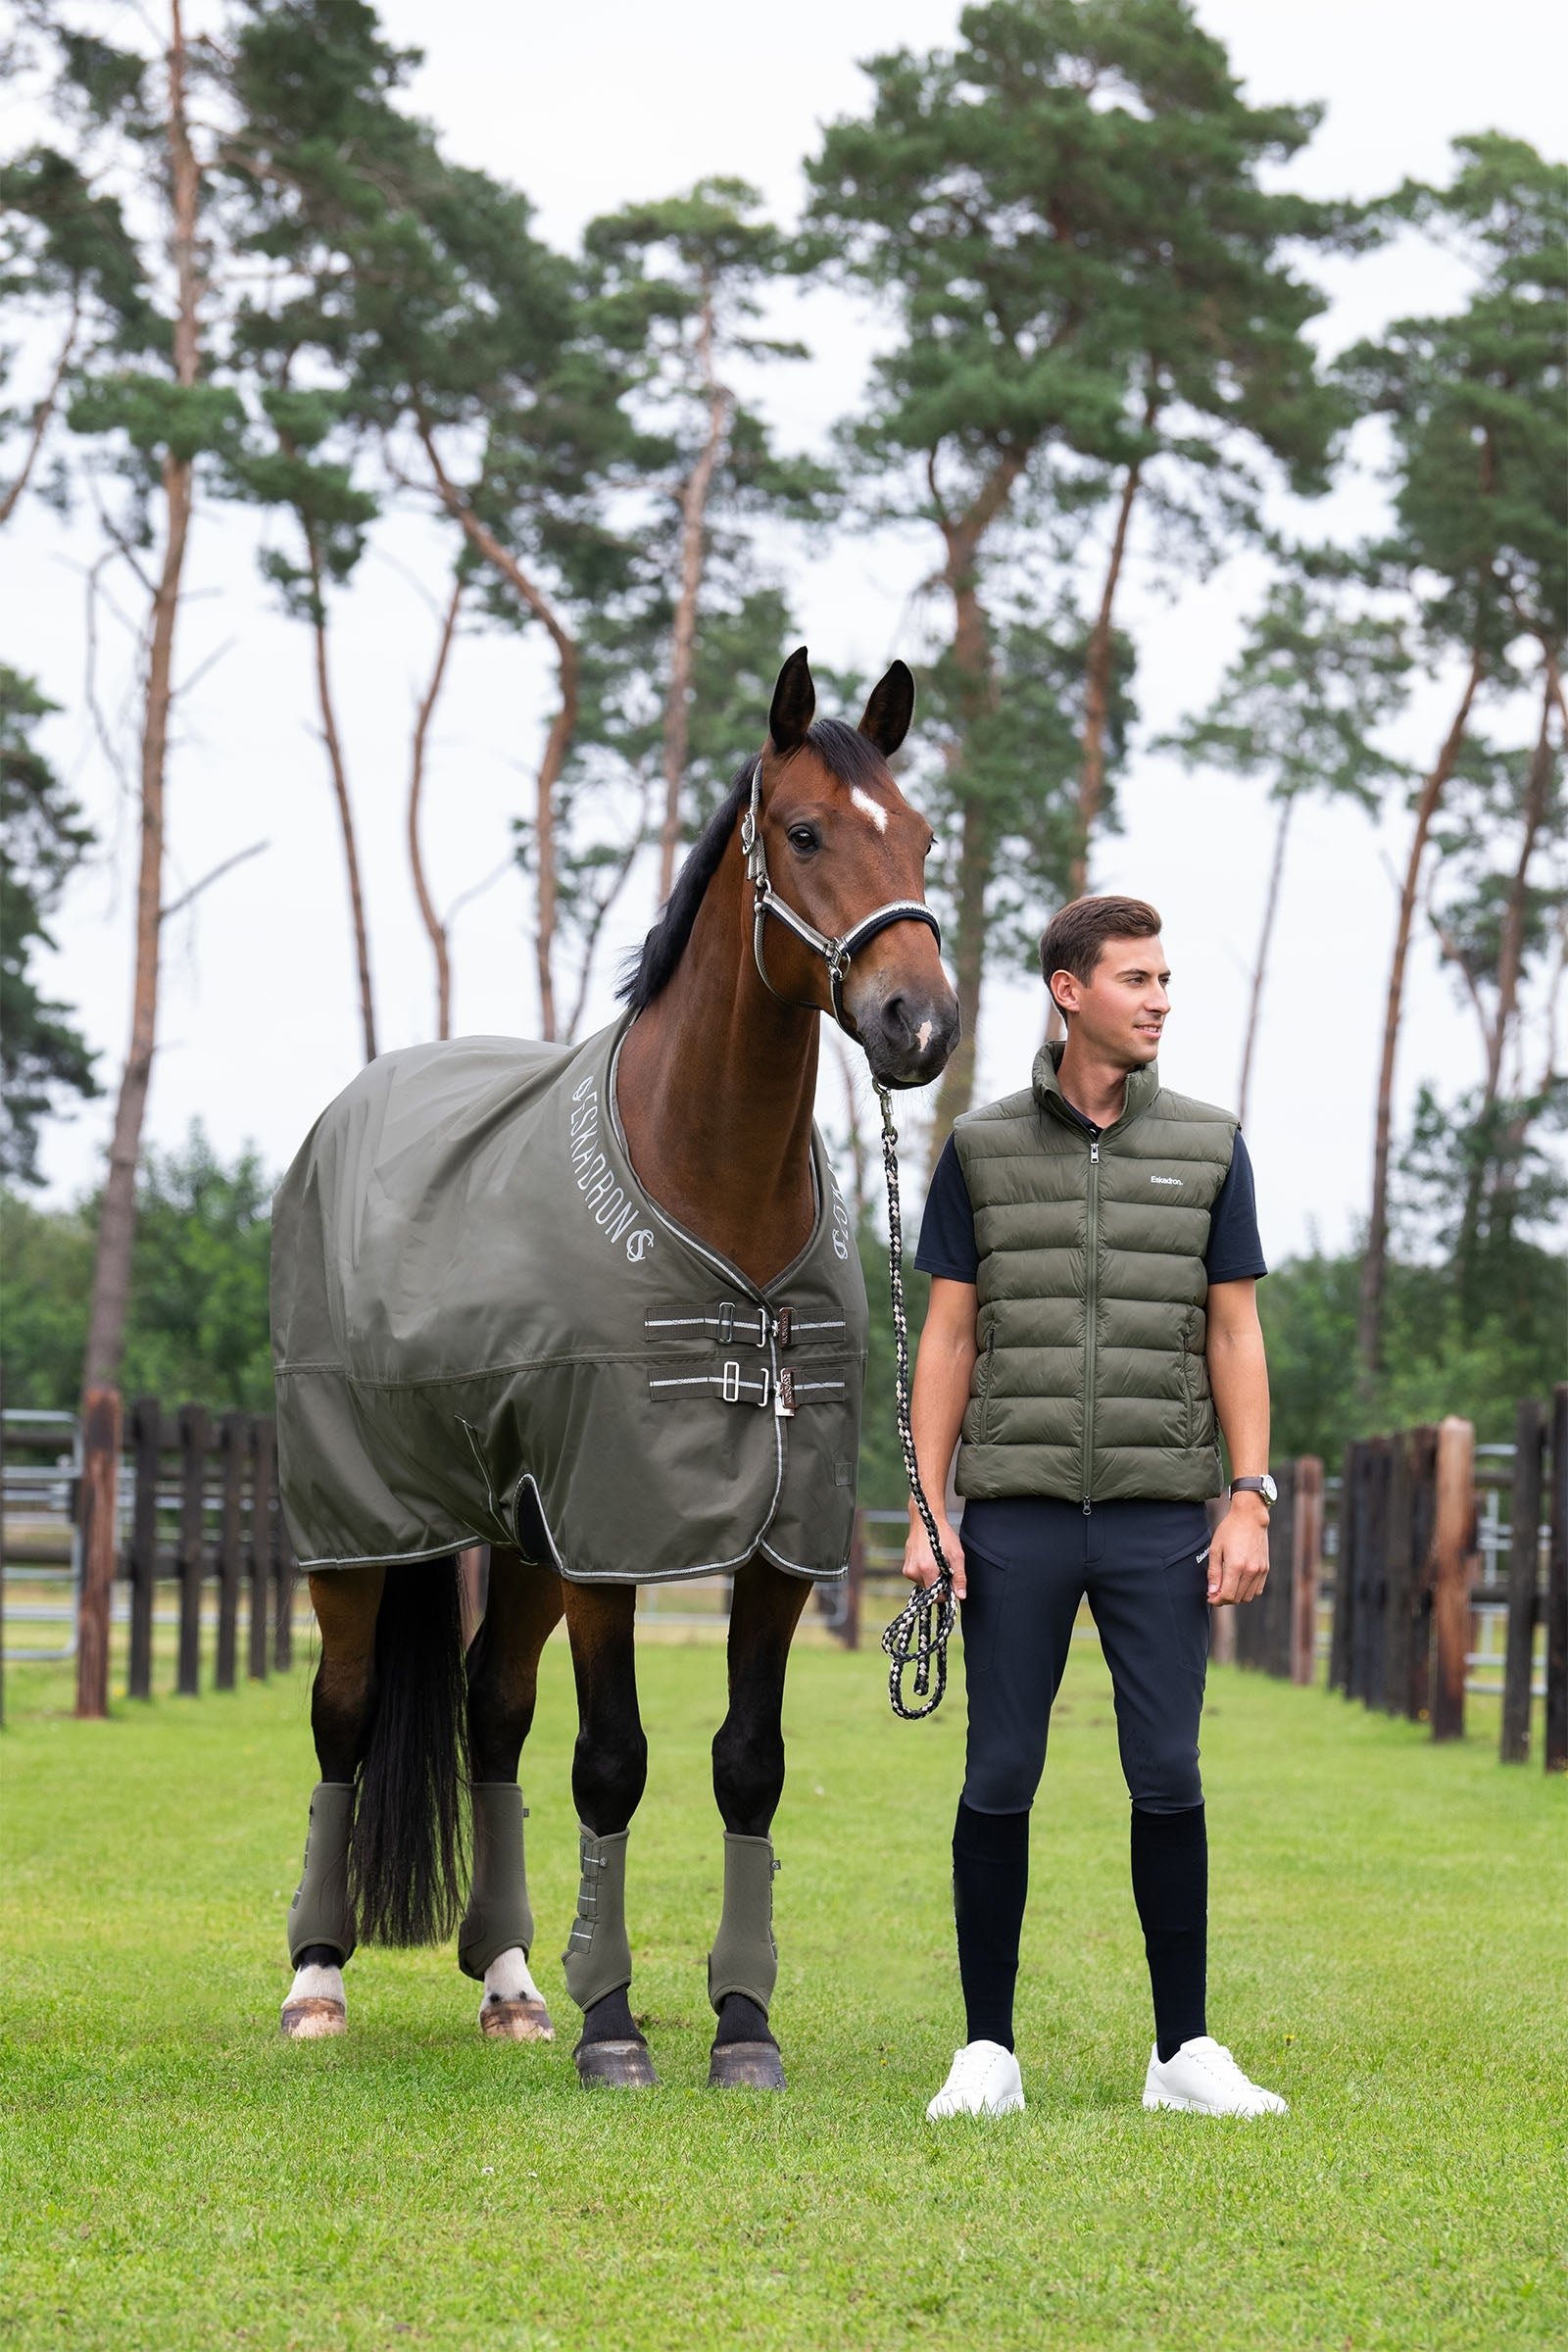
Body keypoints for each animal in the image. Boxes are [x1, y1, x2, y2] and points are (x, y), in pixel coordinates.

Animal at [272, 647, 958, 2089]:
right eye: (804, 833)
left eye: (922, 836)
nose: (917, 1023)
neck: (714, 1193)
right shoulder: (613, 1537)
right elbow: (612, 1761)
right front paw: (616, 2032)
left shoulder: (773, 1544)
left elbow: (745, 1764)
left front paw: (741, 2027)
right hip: (355, 1531)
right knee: (343, 1714)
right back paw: (316, 1985)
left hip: (519, 1538)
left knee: (490, 1713)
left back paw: (512, 1982)